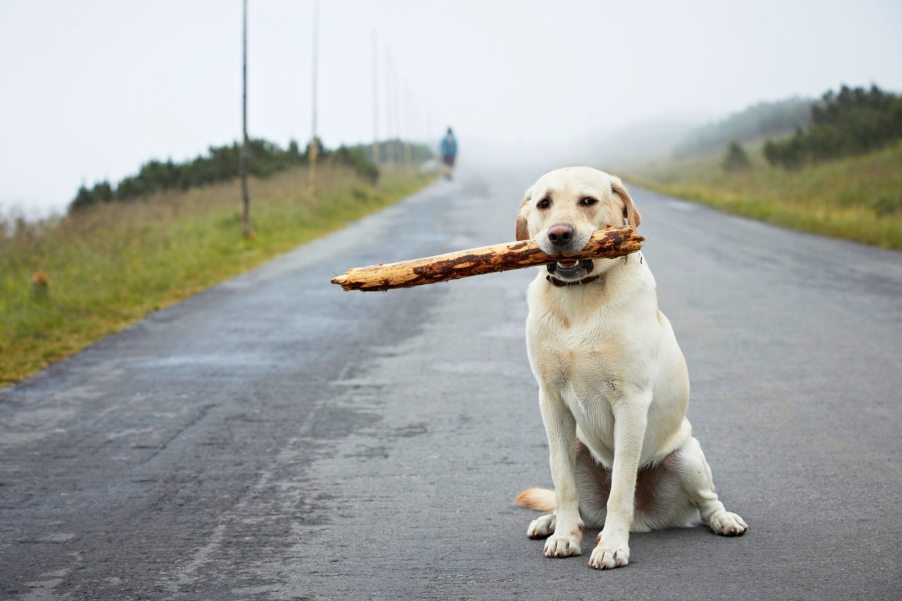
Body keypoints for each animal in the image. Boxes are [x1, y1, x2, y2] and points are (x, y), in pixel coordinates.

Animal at [516, 166, 748, 568]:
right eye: (544, 203)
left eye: (588, 201)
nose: (559, 234)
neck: (579, 298)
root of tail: (646, 519)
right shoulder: (551, 401)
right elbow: (563, 484)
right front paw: (564, 536)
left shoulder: (630, 402)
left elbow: (622, 487)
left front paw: (612, 545)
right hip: (579, 447)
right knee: (575, 501)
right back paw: (551, 521)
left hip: (687, 457)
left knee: (707, 502)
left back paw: (723, 520)